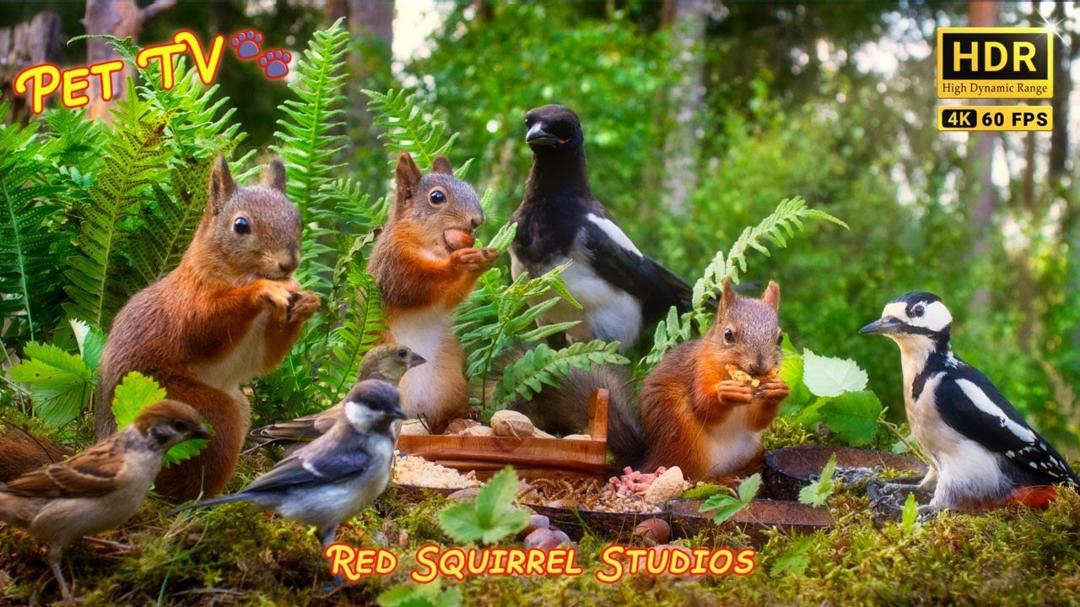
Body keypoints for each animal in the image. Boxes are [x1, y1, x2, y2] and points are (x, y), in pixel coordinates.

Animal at [95, 156, 320, 502]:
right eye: (241, 225)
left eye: (298, 219)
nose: (289, 263)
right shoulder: (188, 305)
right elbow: (204, 328)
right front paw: (263, 289)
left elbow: (264, 360)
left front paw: (308, 301)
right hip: (201, 409)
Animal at [367, 153, 497, 434]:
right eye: (437, 197)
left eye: (469, 188)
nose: (477, 220)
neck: (431, 249)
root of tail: (417, 410)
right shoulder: (394, 266)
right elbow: (417, 286)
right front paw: (459, 262)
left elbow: (447, 298)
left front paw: (481, 260)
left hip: (450, 377)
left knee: (442, 418)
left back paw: (465, 414)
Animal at [515, 279, 787, 481]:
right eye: (728, 335)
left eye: (780, 338)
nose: (759, 365)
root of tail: (650, 458)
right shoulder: (697, 372)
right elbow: (704, 407)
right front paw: (726, 392)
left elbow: (756, 421)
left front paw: (777, 390)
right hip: (686, 442)